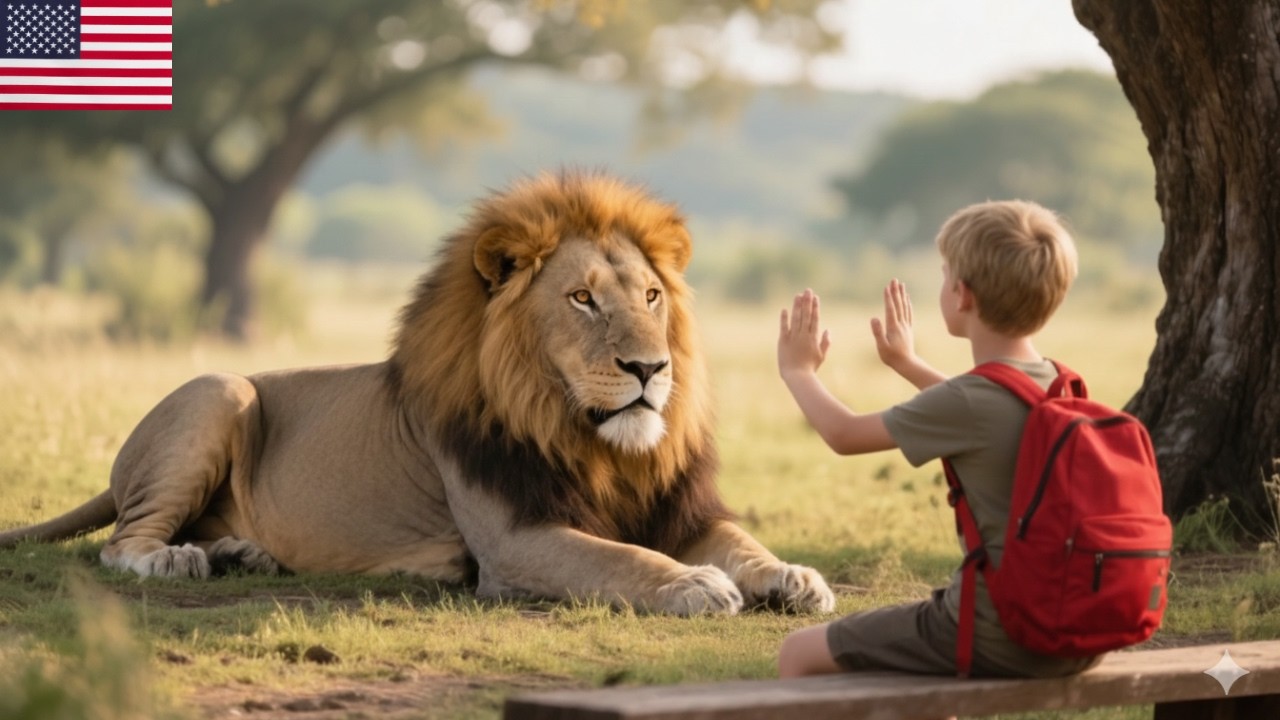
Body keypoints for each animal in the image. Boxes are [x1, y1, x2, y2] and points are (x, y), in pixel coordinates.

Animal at [0, 172, 835, 616]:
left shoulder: (676, 507)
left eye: (654, 296)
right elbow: (622, 560)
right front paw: (695, 583)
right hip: (220, 389)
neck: (590, 441)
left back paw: (242, 551)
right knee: (119, 544)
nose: (650, 369)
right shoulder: (515, 541)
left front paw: (795, 576)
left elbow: (742, 543)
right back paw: (176, 562)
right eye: (582, 300)